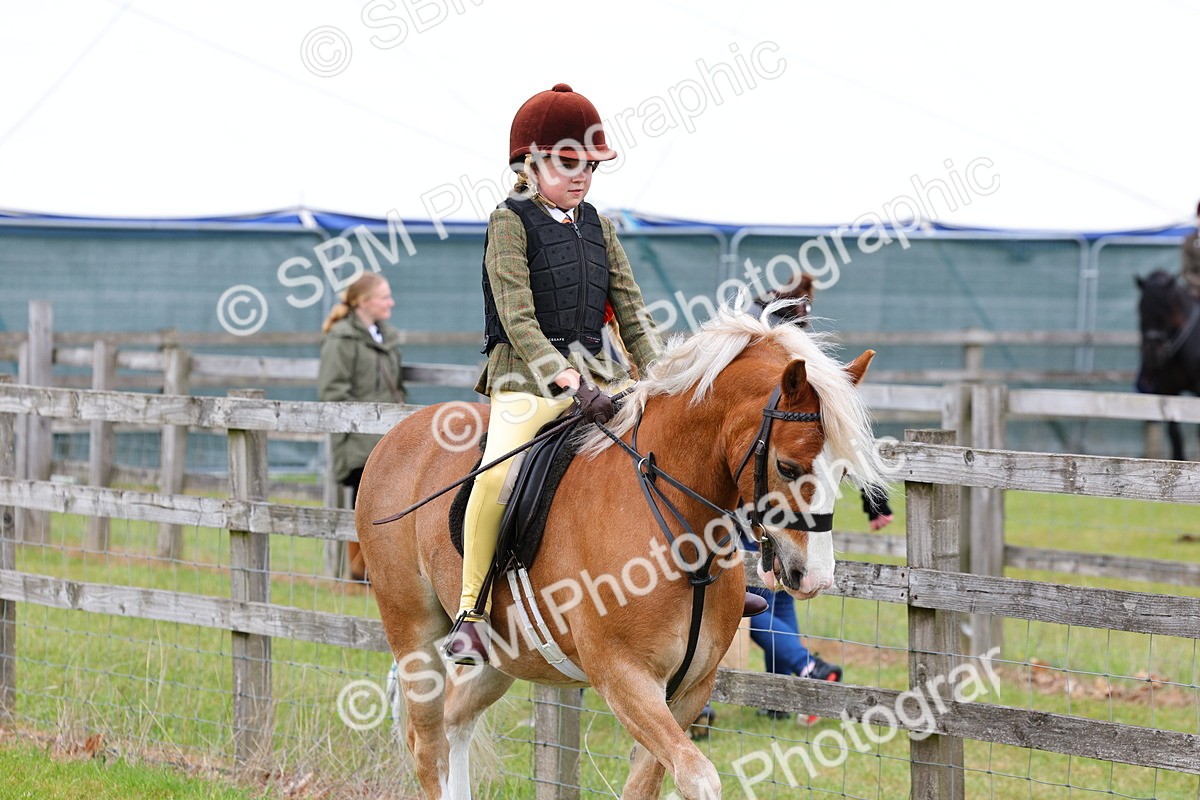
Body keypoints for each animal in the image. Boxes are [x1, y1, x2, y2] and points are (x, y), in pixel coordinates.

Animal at [355, 301, 886, 799]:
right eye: (788, 466)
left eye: (841, 471)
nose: (814, 576)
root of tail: (396, 435)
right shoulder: (624, 678)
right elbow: (699, 778)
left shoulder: (690, 688)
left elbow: (647, 783)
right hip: (414, 637)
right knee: (428, 748)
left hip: (506, 656)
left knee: (457, 720)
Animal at [1135, 270, 1200, 460]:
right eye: (1141, 309)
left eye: (1167, 308)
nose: (1153, 354)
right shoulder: (1168, 390)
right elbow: (1174, 434)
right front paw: (1179, 459)